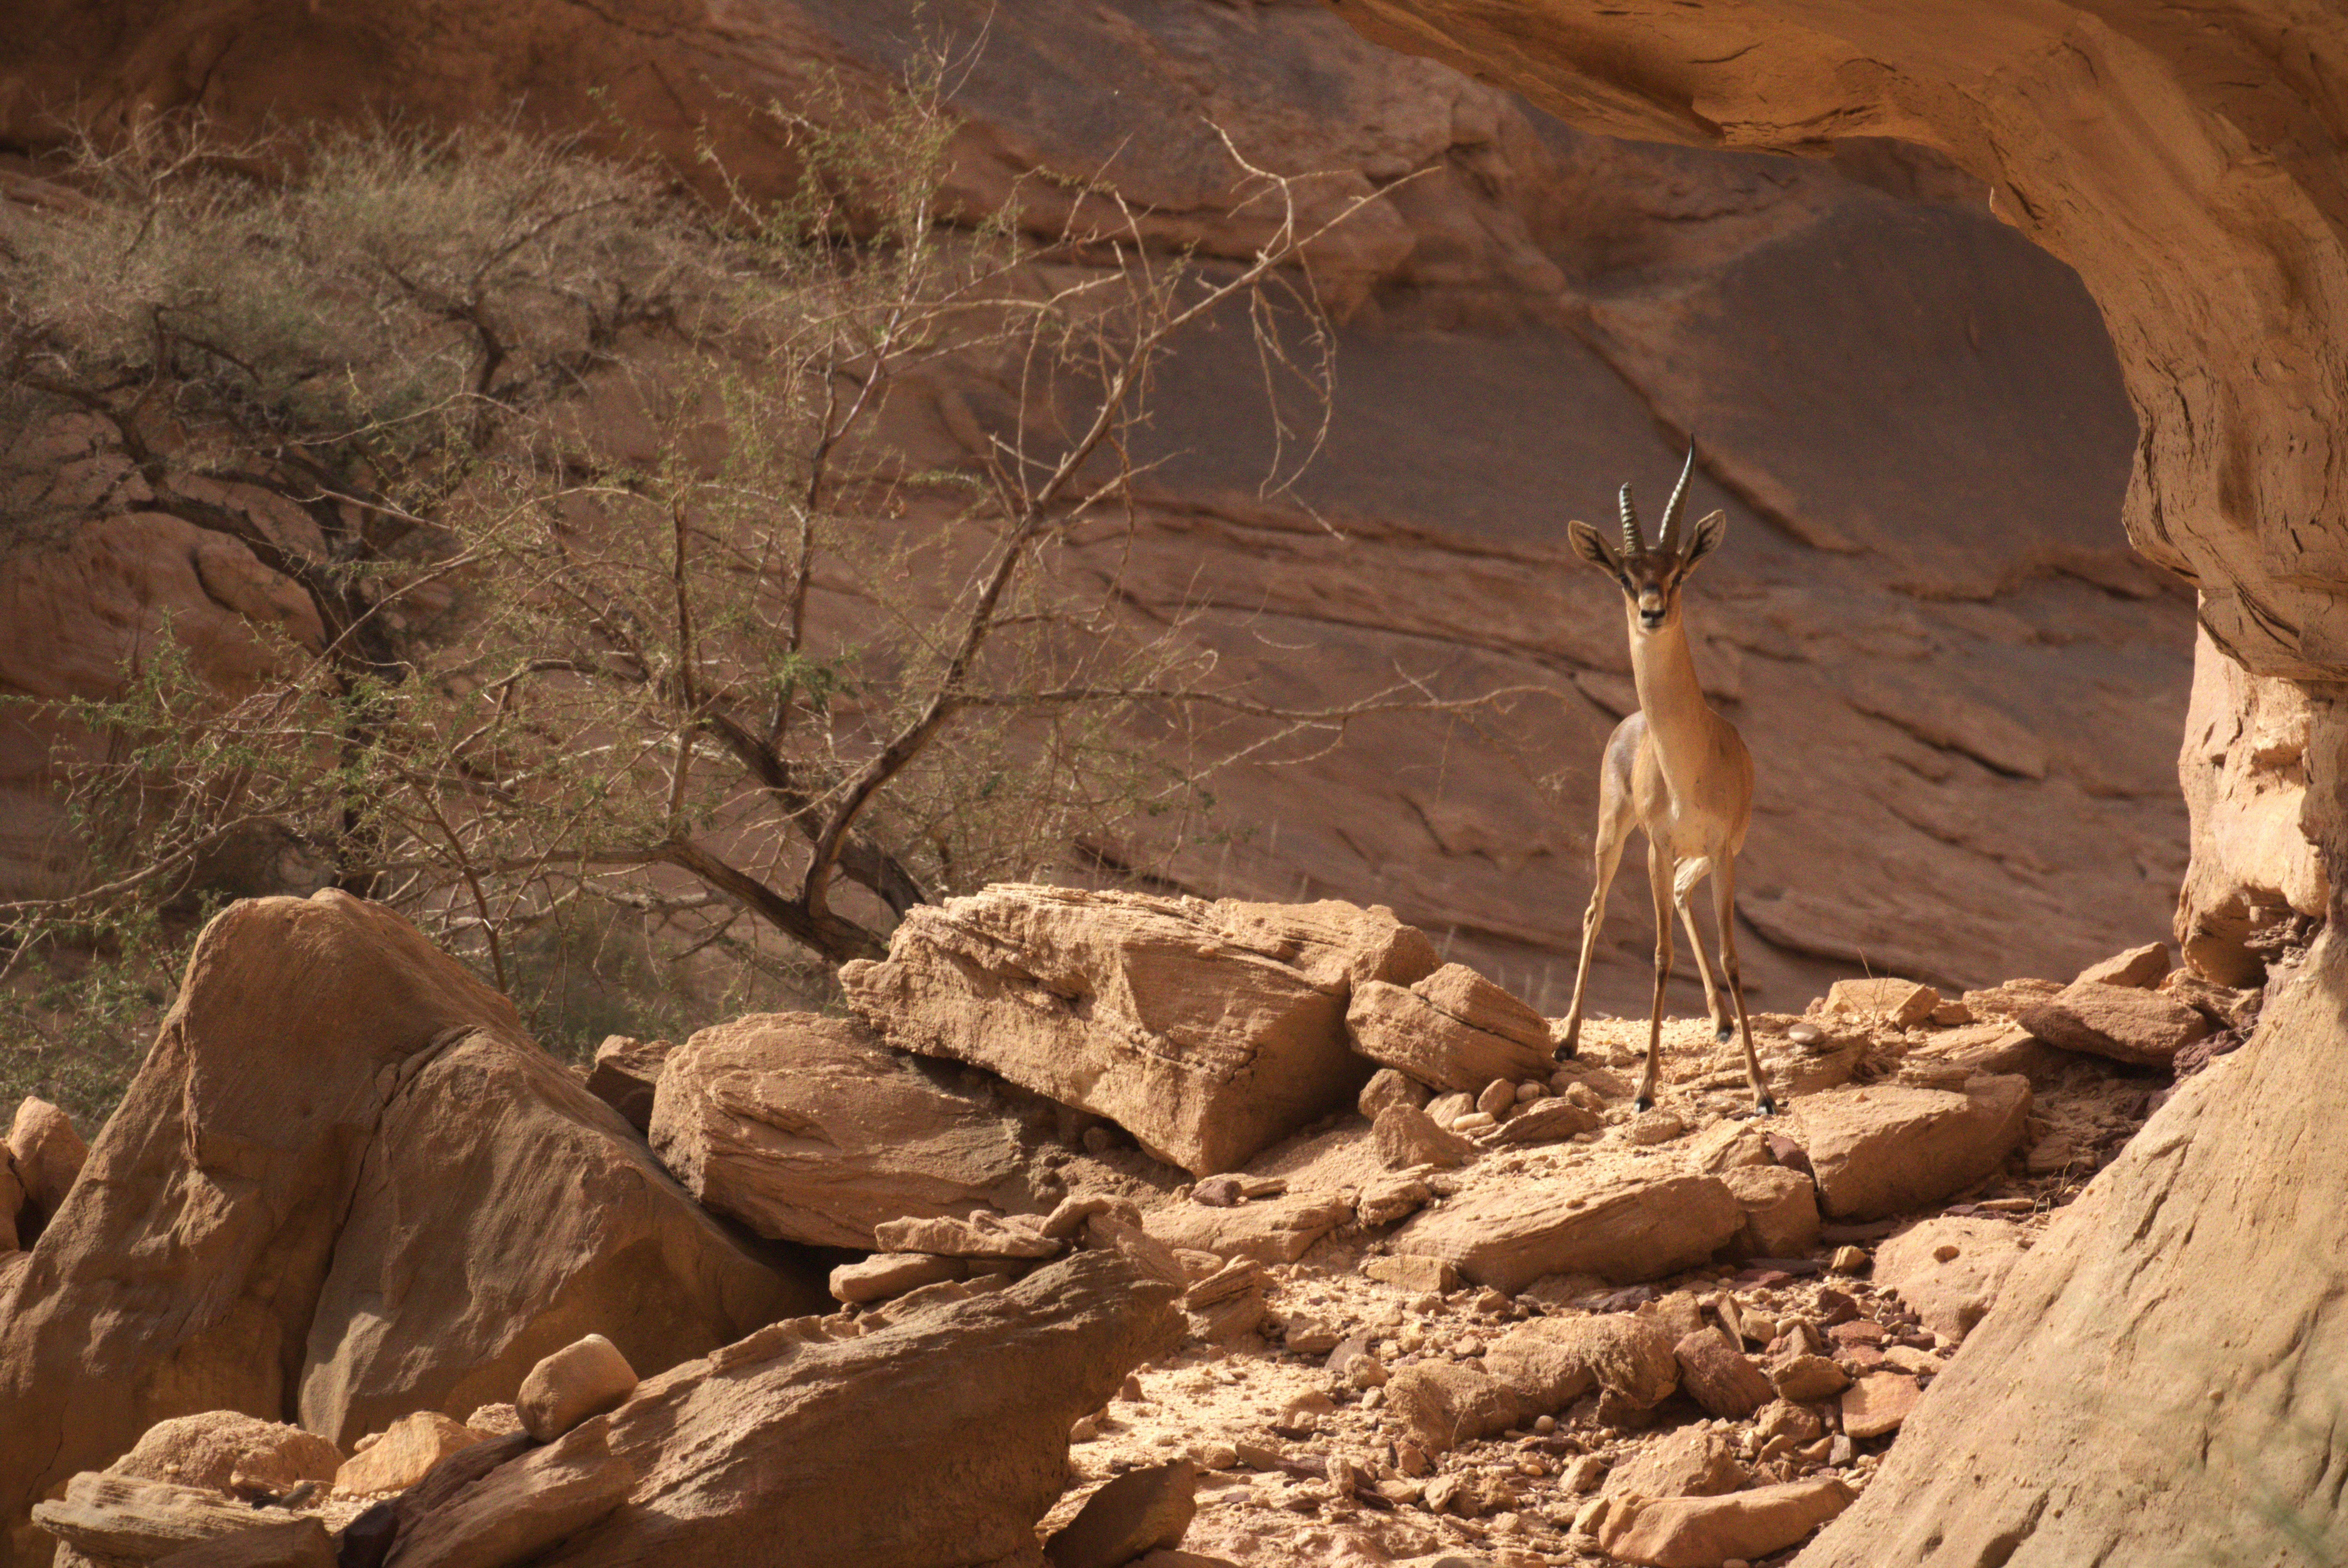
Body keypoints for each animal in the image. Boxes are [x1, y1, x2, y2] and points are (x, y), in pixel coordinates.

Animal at [1555, 442, 1776, 1116]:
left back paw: (1722, 1022)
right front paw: (1646, 1088)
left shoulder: (1723, 848)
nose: (1652, 613)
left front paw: (1762, 1091)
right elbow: (1657, 955)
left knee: (1680, 894)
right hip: (1613, 834)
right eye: (1625, 577)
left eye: (1677, 572)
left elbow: (1732, 957)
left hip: (1706, 854)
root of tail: (1629, 723)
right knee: (1594, 909)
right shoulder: (1656, 843)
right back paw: (1566, 1041)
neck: (1689, 761)